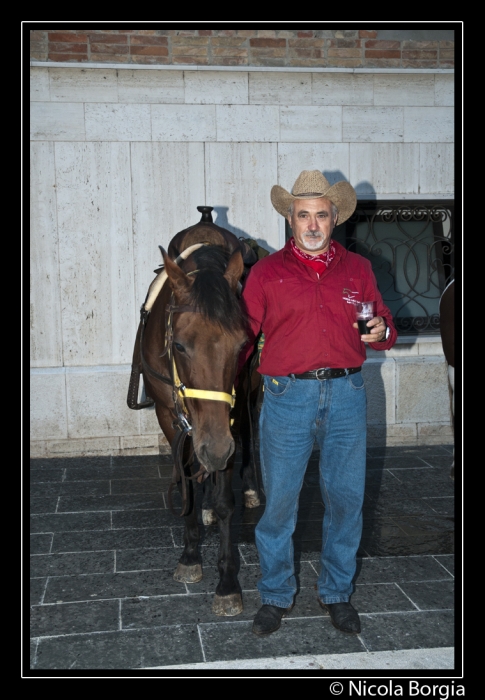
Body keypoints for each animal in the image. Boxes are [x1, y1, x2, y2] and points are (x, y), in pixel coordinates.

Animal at [126, 206, 260, 612]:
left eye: (242, 343)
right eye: (180, 345)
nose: (215, 449)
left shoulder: (228, 412)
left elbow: (227, 498)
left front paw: (227, 581)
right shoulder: (170, 416)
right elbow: (184, 479)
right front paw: (189, 555)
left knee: (248, 434)